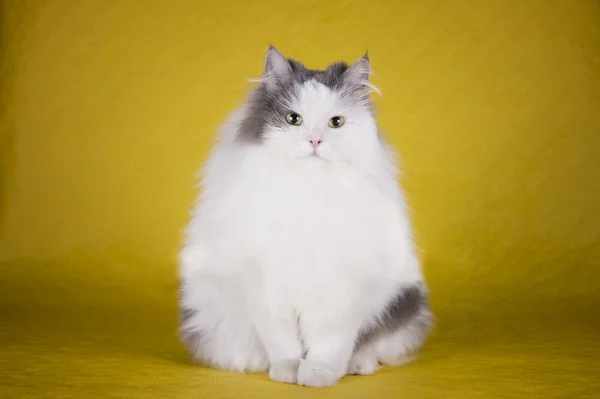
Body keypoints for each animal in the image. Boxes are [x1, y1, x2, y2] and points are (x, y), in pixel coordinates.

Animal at [177, 46, 432, 388]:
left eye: (335, 122)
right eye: (292, 119)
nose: (314, 141)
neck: (308, 190)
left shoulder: (341, 285)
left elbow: (329, 342)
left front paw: (317, 375)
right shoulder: (265, 283)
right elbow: (283, 342)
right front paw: (288, 371)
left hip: (402, 298)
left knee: (374, 345)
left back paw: (357, 365)